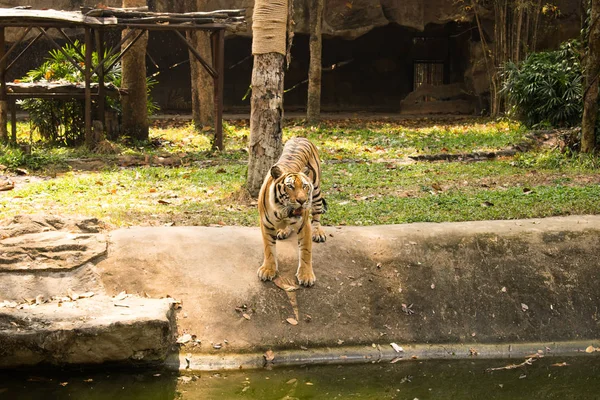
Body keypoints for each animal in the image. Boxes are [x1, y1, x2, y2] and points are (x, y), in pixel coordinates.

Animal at [255, 136, 326, 286]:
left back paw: (318, 232)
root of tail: (301, 137)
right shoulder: (265, 224)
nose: (302, 201)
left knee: (317, 215)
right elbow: (269, 248)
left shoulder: (304, 225)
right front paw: (268, 270)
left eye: (304, 186)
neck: (282, 211)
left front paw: (306, 275)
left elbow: (305, 251)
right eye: (290, 186)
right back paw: (283, 231)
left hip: (317, 191)